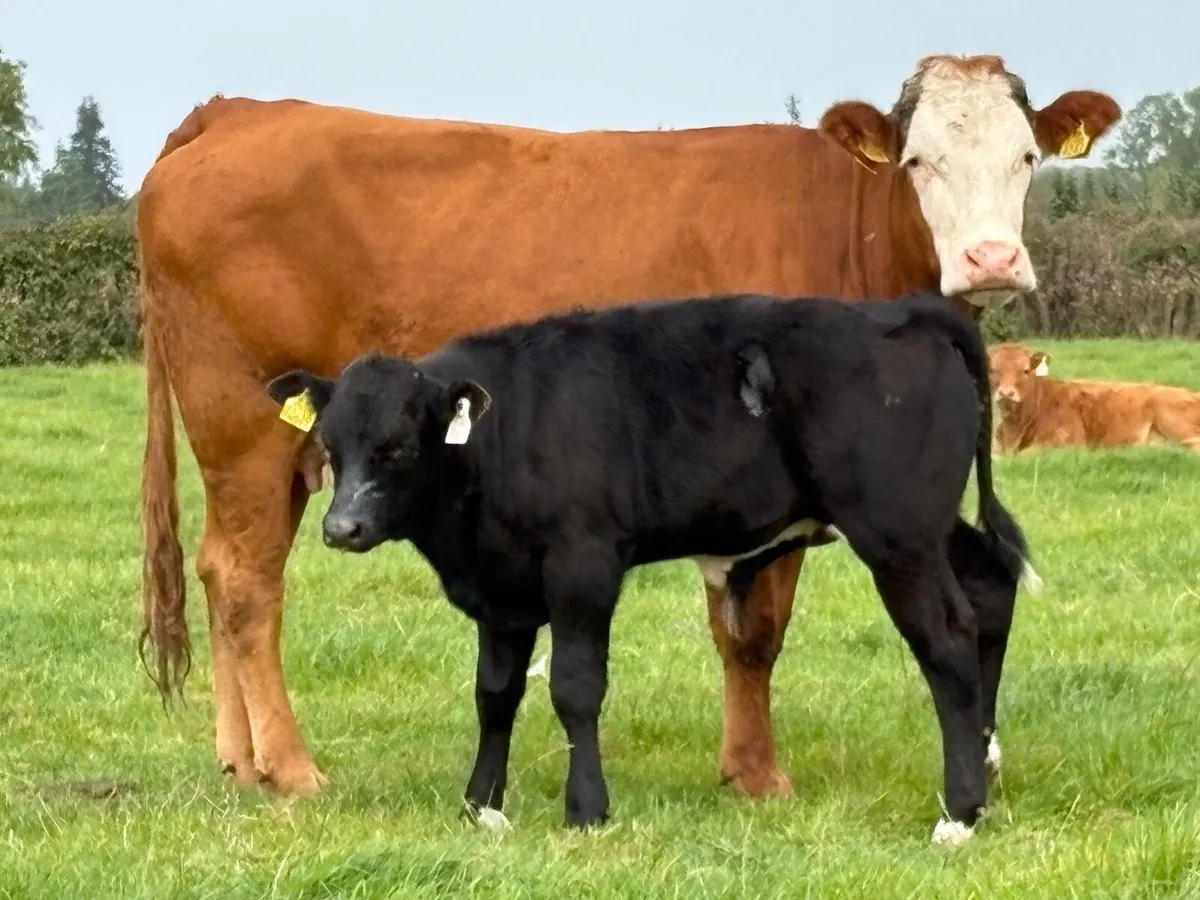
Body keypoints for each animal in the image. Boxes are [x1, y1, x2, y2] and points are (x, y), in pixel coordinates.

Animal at [263, 289, 1035, 843]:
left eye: (398, 446)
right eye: (331, 445)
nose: (341, 527)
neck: (503, 434)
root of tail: (906, 310)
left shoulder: (583, 567)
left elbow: (574, 688)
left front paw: (586, 809)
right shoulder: (501, 593)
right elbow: (495, 694)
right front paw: (482, 806)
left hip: (897, 534)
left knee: (947, 642)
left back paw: (958, 811)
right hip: (933, 529)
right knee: (990, 591)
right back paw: (986, 771)